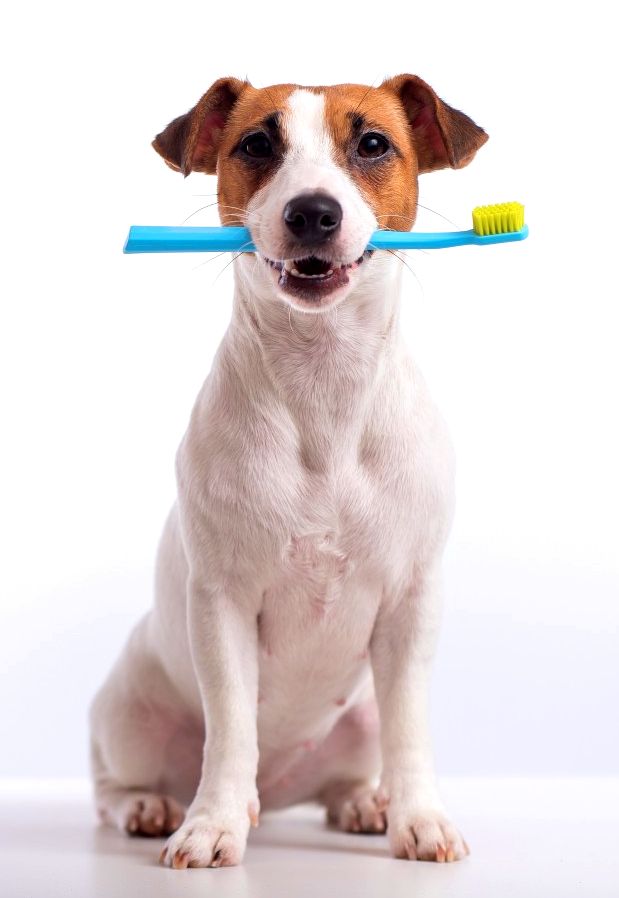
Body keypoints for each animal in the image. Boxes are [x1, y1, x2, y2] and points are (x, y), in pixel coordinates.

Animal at [91, 73, 490, 864]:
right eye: (255, 144)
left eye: (373, 144)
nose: (312, 212)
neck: (322, 381)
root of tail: (276, 795)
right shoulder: (222, 605)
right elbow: (229, 727)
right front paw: (211, 824)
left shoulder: (412, 603)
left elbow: (409, 726)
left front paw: (418, 817)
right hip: (128, 709)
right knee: (114, 782)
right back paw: (151, 805)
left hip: (356, 719)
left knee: (353, 764)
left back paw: (364, 802)